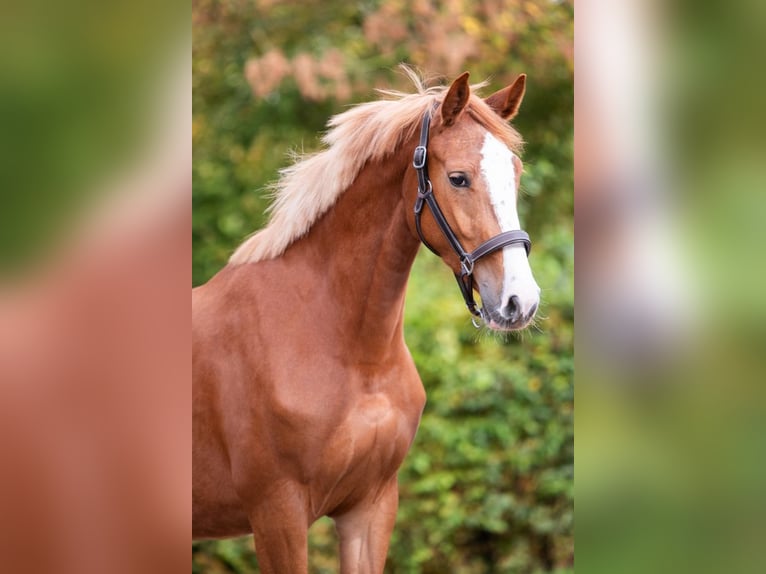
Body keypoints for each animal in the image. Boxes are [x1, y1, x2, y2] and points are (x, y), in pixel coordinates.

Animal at [192, 70, 540, 572]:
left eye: (515, 174)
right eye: (458, 178)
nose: (520, 301)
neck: (354, 355)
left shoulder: (370, 508)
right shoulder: (278, 513)